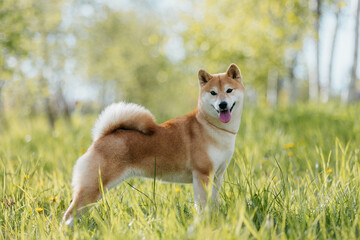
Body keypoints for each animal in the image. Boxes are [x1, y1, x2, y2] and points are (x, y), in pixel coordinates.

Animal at [63, 63, 246, 225]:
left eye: (229, 90)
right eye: (213, 93)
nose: (222, 104)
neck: (212, 127)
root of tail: (101, 137)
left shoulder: (217, 176)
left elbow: (213, 203)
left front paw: (213, 219)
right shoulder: (202, 175)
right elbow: (202, 206)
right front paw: (202, 223)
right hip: (93, 187)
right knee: (68, 215)